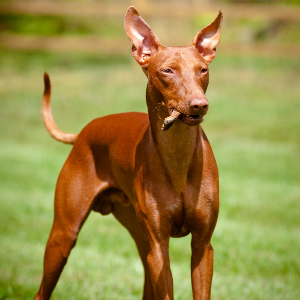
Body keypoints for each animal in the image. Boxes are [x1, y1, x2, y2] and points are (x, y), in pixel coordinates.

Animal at [34, 7, 223, 300]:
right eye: (167, 70)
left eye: (203, 70)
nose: (199, 105)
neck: (178, 159)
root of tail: (84, 131)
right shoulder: (159, 247)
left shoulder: (203, 246)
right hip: (64, 235)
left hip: (140, 239)